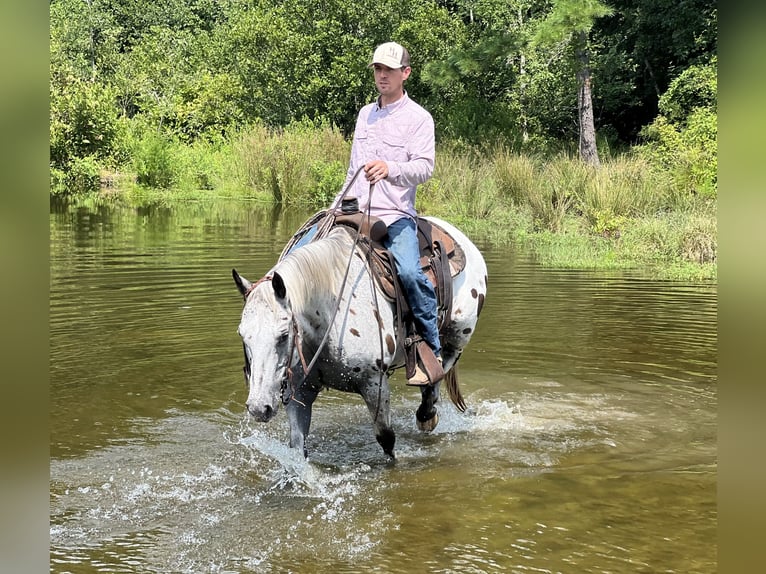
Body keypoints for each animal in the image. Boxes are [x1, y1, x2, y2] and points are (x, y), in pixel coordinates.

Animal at [231, 218, 488, 462]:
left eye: (284, 335)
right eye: (243, 334)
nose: (258, 408)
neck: (330, 309)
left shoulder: (375, 383)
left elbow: (386, 439)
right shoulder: (299, 392)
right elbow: (297, 447)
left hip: (456, 338)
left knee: (438, 375)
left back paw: (427, 414)